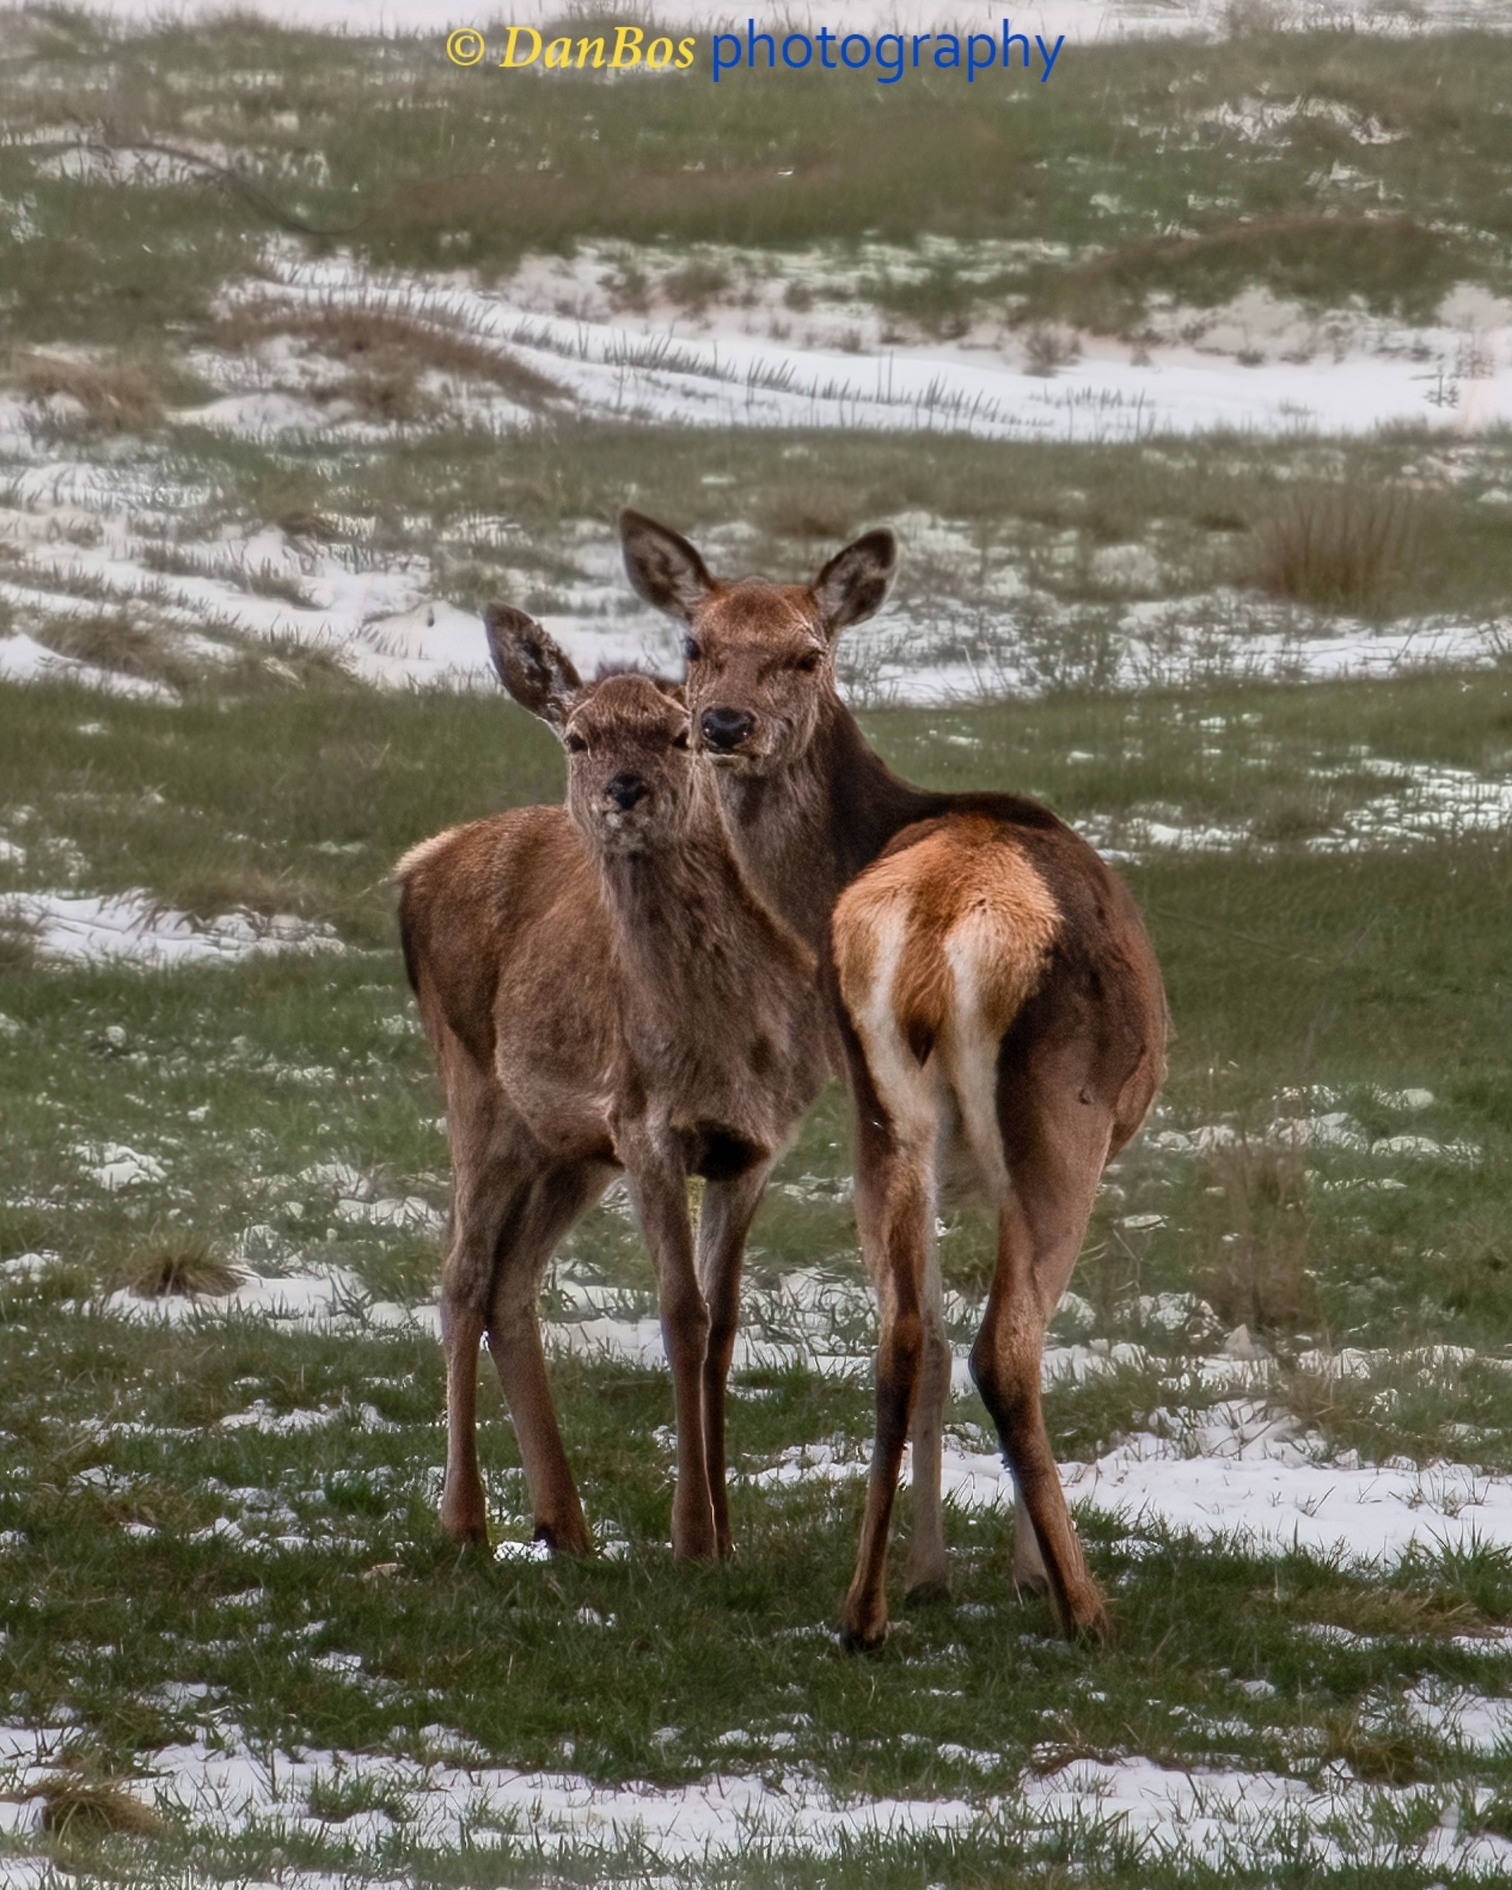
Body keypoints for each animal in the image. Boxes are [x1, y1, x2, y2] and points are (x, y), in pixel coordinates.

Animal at [397, 605, 826, 1565]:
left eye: (678, 733)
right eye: (580, 737)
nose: (624, 790)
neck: (723, 1046)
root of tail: (415, 865)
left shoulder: (756, 1147)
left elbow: (725, 1325)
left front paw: (727, 1532)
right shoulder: (647, 1129)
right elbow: (681, 1314)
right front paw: (693, 1536)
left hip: (567, 1146)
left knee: (512, 1284)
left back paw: (564, 1521)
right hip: (475, 1085)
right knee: (461, 1277)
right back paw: (465, 1519)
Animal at [618, 510, 1168, 1649]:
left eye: (805, 653)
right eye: (695, 644)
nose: (724, 724)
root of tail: (935, 927)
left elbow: (930, 1348)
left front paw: (931, 1576)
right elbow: (1008, 1341)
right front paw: (1021, 1575)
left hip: (880, 1115)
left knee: (900, 1338)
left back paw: (864, 1609)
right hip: (1061, 1115)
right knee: (1009, 1348)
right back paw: (1085, 1606)